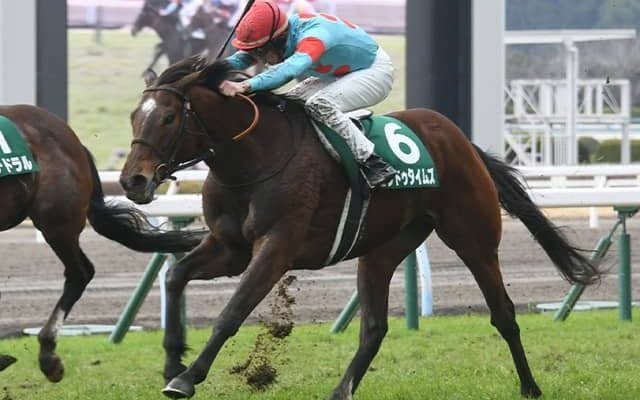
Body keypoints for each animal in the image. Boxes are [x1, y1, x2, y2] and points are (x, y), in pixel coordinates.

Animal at [119, 57, 600, 399]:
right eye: (133, 116)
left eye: (167, 119)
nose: (132, 181)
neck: (252, 158)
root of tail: (461, 140)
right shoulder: (229, 246)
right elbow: (176, 276)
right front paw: (172, 362)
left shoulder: (277, 246)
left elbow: (232, 312)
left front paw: (186, 378)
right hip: (381, 249)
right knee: (374, 327)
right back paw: (339, 392)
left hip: (473, 237)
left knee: (503, 313)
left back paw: (530, 387)